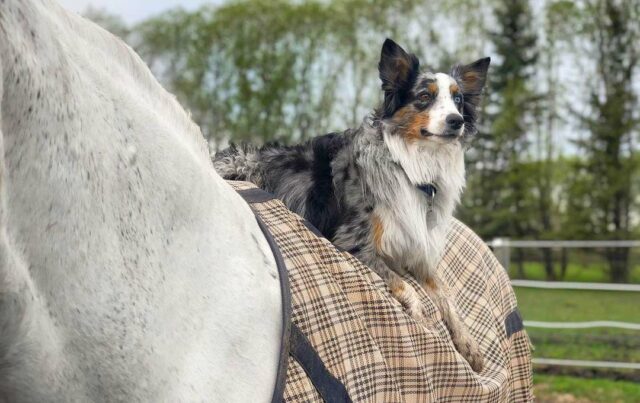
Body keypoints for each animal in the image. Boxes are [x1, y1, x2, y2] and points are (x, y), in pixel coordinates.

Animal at [215, 38, 490, 372]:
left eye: (458, 99)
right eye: (424, 97)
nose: (456, 121)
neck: (412, 166)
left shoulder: (417, 250)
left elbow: (446, 294)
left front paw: (468, 344)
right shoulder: (356, 244)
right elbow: (407, 286)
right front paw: (422, 320)